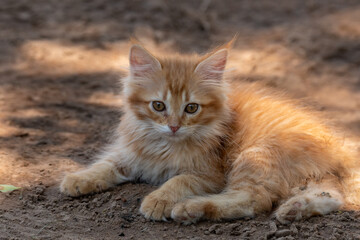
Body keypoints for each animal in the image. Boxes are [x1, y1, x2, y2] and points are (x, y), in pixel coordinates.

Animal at [60, 40, 358, 223]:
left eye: (192, 108)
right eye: (158, 105)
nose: (174, 126)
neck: (163, 145)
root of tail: (339, 148)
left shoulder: (209, 174)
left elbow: (177, 181)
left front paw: (158, 200)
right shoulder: (131, 154)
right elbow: (105, 164)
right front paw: (78, 179)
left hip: (256, 156)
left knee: (254, 200)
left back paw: (191, 208)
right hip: (311, 177)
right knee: (331, 196)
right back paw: (295, 210)